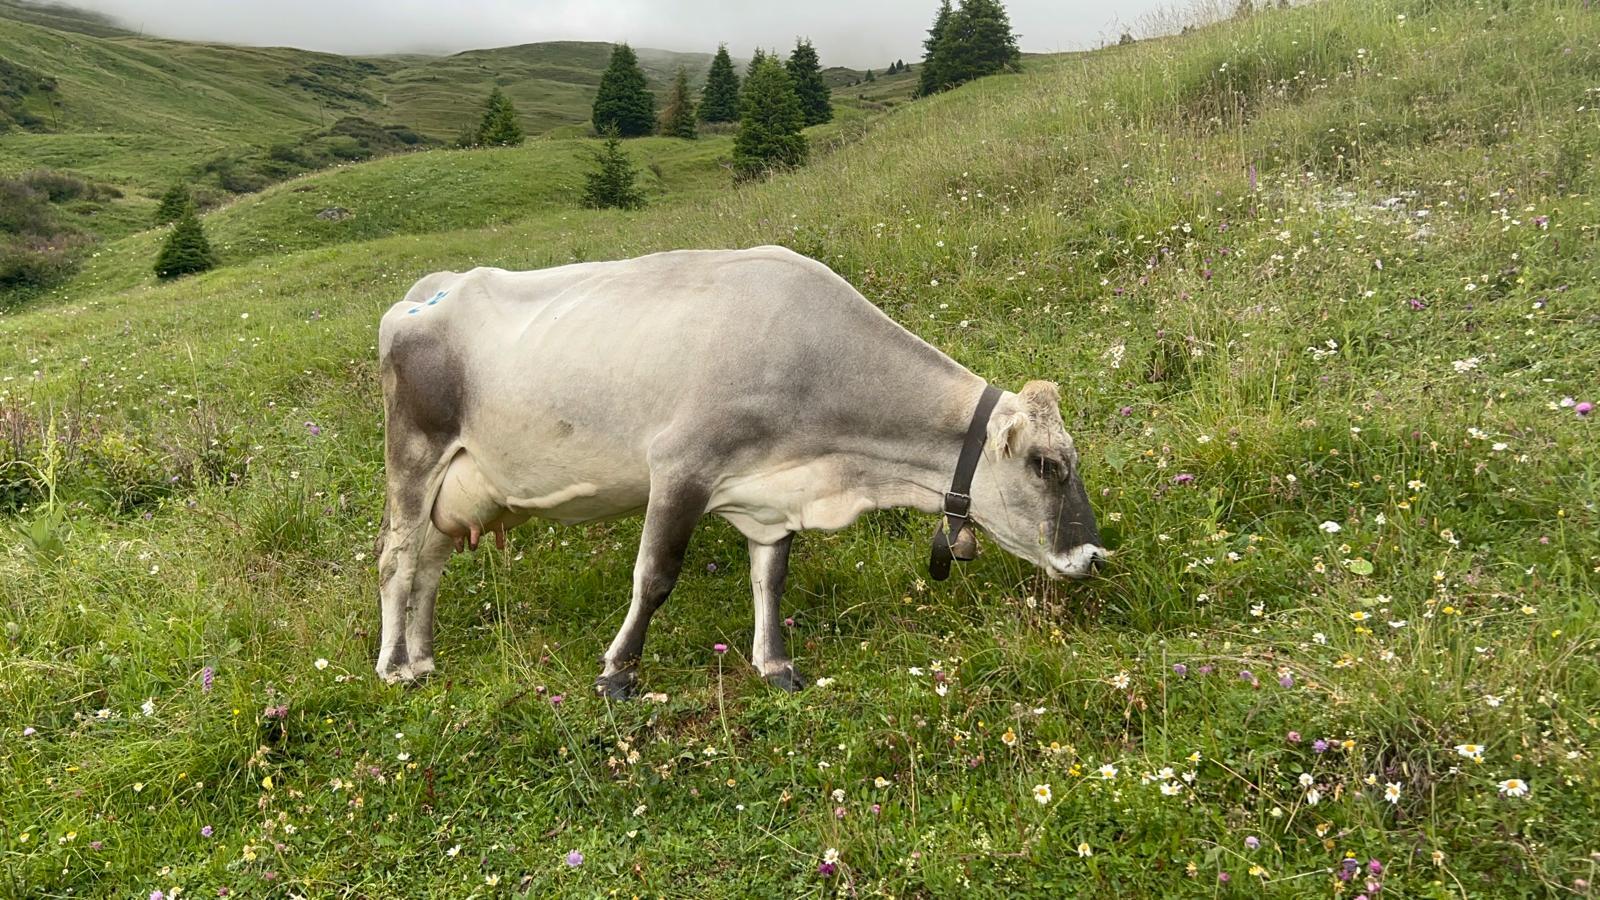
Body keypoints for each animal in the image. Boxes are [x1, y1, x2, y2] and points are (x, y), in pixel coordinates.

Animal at [375, 246, 1105, 696]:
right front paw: (618, 674)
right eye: (1047, 465)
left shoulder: (771, 496)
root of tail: (428, 290)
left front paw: (774, 663)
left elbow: (770, 578)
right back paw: (394, 667)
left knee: (431, 564)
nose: (1094, 556)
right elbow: (655, 577)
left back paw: (425, 656)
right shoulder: (679, 465)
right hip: (413, 454)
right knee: (396, 561)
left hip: (463, 487)